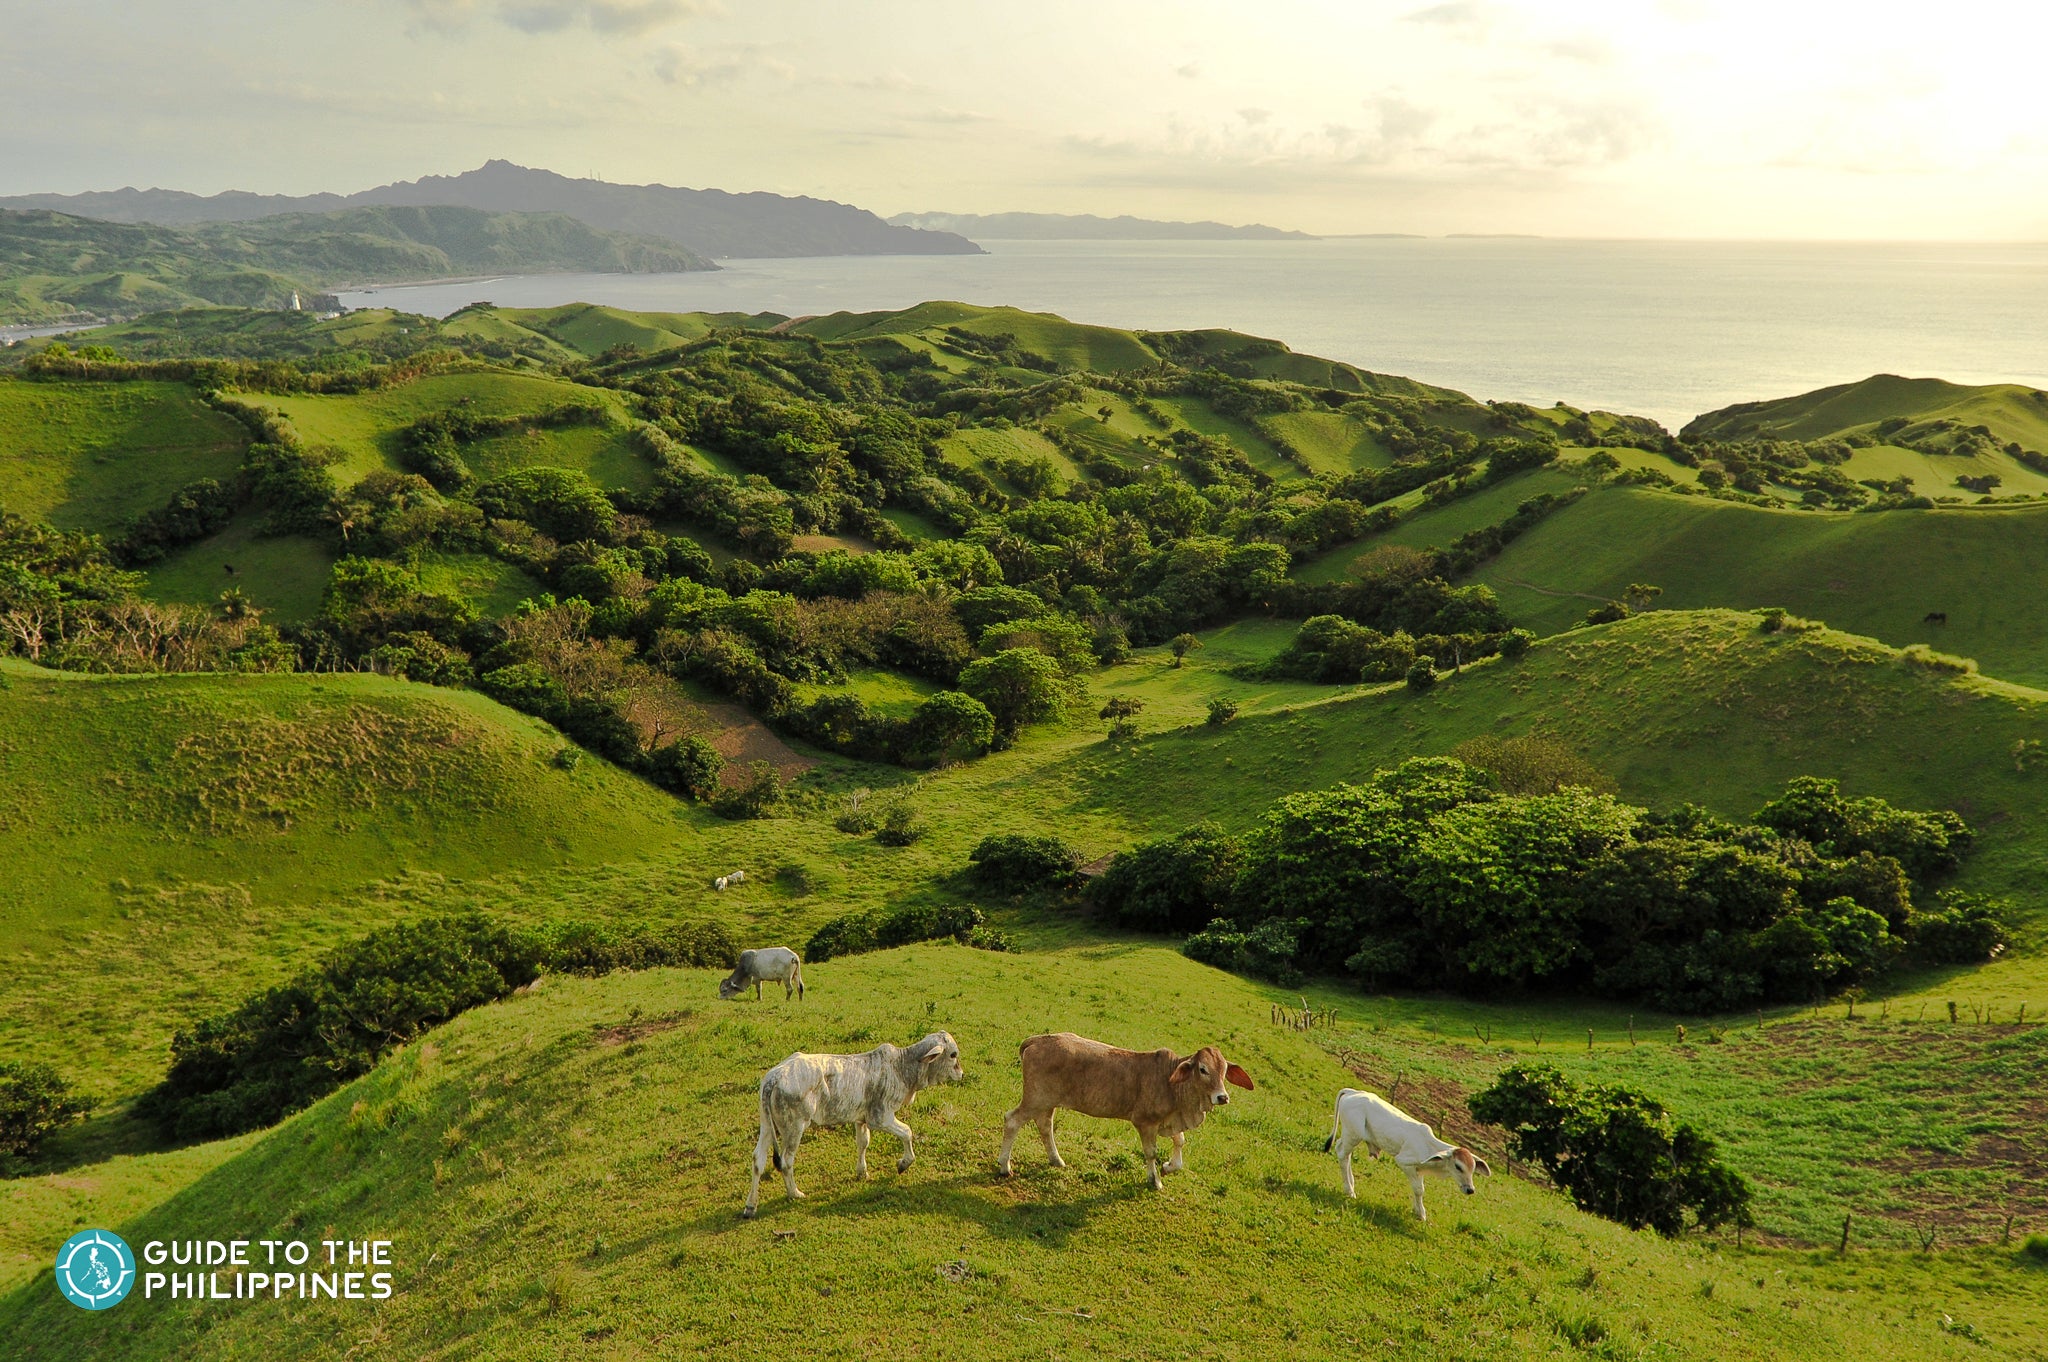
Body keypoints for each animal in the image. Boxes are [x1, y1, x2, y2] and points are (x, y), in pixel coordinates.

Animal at [743, 1032, 964, 1217]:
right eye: (953, 1054)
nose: (961, 1074)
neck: (902, 1068)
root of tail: (773, 1078)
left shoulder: (861, 1118)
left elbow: (863, 1143)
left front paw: (862, 1172)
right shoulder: (880, 1117)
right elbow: (907, 1132)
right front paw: (903, 1163)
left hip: (767, 1125)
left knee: (758, 1159)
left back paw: (751, 1206)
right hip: (794, 1127)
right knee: (786, 1161)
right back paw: (794, 1193)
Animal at [998, 1032, 1254, 1191]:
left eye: (1224, 1070)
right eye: (1202, 1069)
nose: (1222, 1097)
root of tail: (1036, 1040)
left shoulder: (1169, 1119)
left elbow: (1180, 1141)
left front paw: (1169, 1167)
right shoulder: (1145, 1122)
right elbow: (1151, 1153)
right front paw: (1155, 1180)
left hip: (1047, 1102)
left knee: (1045, 1125)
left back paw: (1056, 1159)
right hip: (1035, 1098)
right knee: (1012, 1120)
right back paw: (1004, 1166)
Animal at [1323, 1087, 1491, 1221]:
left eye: (1472, 1168)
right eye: (1458, 1166)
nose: (1470, 1190)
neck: (1429, 1146)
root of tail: (1352, 1092)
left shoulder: (1419, 1170)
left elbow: (1419, 1190)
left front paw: (1417, 1210)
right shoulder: (1404, 1162)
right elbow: (1418, 1189)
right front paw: (1421, 1214)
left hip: (1351, 1136)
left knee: (1345, 1153)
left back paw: (1351, 1185)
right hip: (1353, 1134)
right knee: (1342, 1154)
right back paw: (1349, 1191)